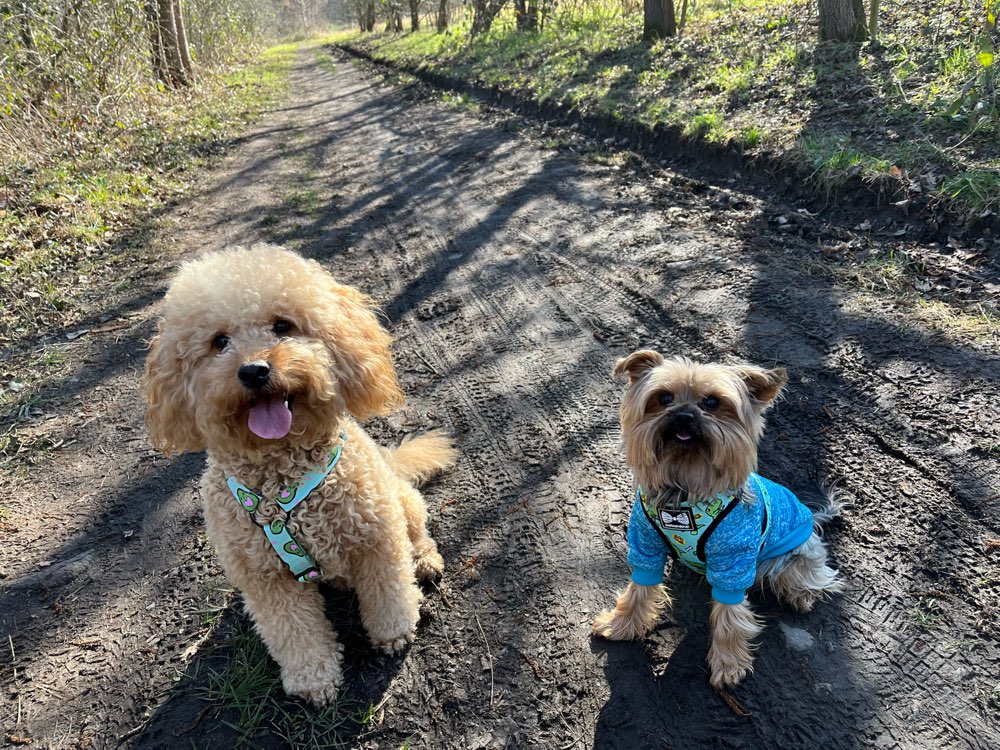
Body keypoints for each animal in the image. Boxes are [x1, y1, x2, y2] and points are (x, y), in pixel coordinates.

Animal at [143, 245, 456, 704]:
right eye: (219, 342)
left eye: (282, 325)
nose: (253, 370)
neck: (282, 478)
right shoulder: (266, 579)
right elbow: (294, 632)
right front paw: (314, 679)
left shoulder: (377, 540)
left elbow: (389, 592)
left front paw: (394, 633)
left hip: (401, 502)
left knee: (417, 533)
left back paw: (426, 559)